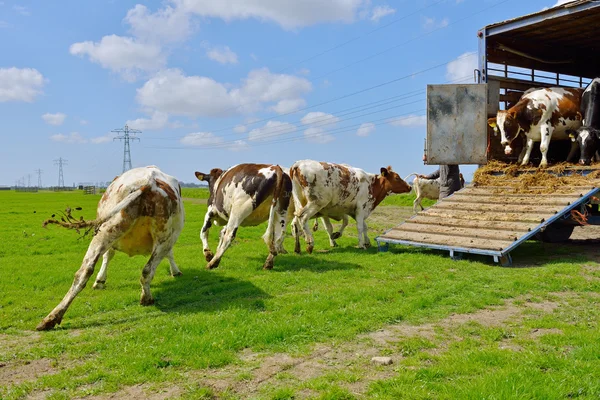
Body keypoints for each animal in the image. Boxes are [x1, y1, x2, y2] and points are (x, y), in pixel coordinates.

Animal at [37, 166, 185, 332]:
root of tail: (148, 182)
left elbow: (108, 256)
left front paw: (100, 280)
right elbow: (169, 254)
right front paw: (175, 271)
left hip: (108, 230)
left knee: (84, 271)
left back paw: (51, 318)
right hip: (160, 237)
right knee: (147, 270)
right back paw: (146, 298)